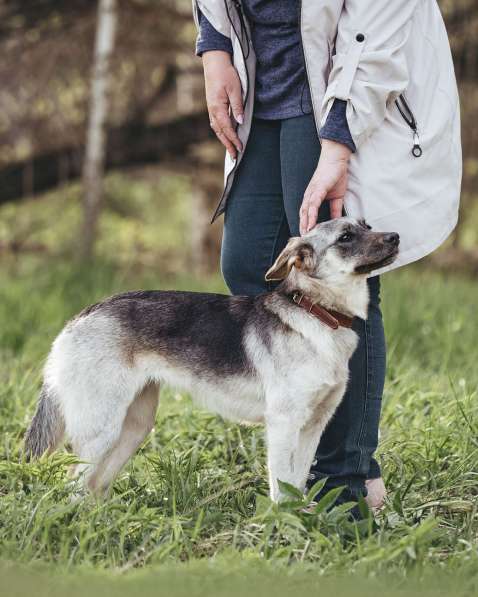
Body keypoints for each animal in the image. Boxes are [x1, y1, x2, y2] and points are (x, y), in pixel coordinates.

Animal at [26, 217, 400, 500]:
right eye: (346, 237)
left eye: (366, 226)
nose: (395, 236)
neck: (316, 314)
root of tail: (80, 317)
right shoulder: (284, 425)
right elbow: (282, 489)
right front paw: (283, 528)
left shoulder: (313, 427)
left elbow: (297, 483)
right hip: (101, 430)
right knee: (73, 485)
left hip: (132, 428)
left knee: (93, 486)